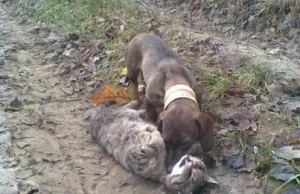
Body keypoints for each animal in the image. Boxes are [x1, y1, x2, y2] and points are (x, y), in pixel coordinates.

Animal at [85, 101, 217, 193]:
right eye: (198, 166)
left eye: (190, 176)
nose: (192, 162)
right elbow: (159, 140)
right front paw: (154, 129)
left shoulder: (135, 154)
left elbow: (155, 143)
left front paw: (155, 134)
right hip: (119, 111)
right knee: (124, 107)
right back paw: (138, 105)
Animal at [125, 33, 214, 171]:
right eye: (165, 140)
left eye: (186, 142)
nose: (170, 169)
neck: (174, 79)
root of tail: (141, 34)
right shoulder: (149, 99)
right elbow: (151, 115)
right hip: (132, 69)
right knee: (134, 83)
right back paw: (135, 97)